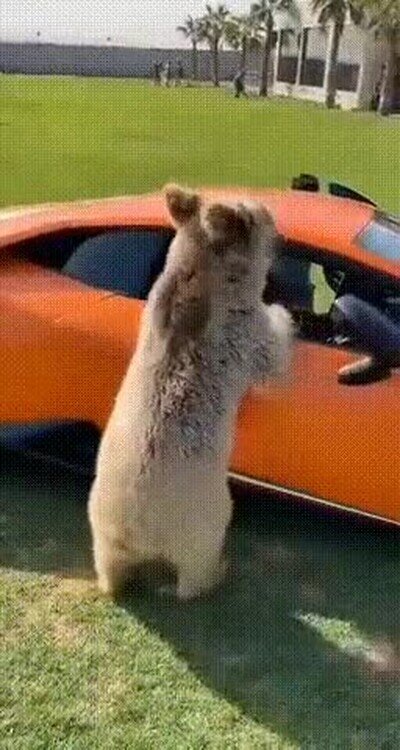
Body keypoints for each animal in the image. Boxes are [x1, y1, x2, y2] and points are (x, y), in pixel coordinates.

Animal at [88, 185, 293, 601]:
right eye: (266, 216)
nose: (284, 237)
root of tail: (139, 533)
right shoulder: (244, 329)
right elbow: (272, 349)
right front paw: (285, 313)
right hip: (205, 521)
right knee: (193, 574)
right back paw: (216, 573)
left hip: (101, 526)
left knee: (109, 566)